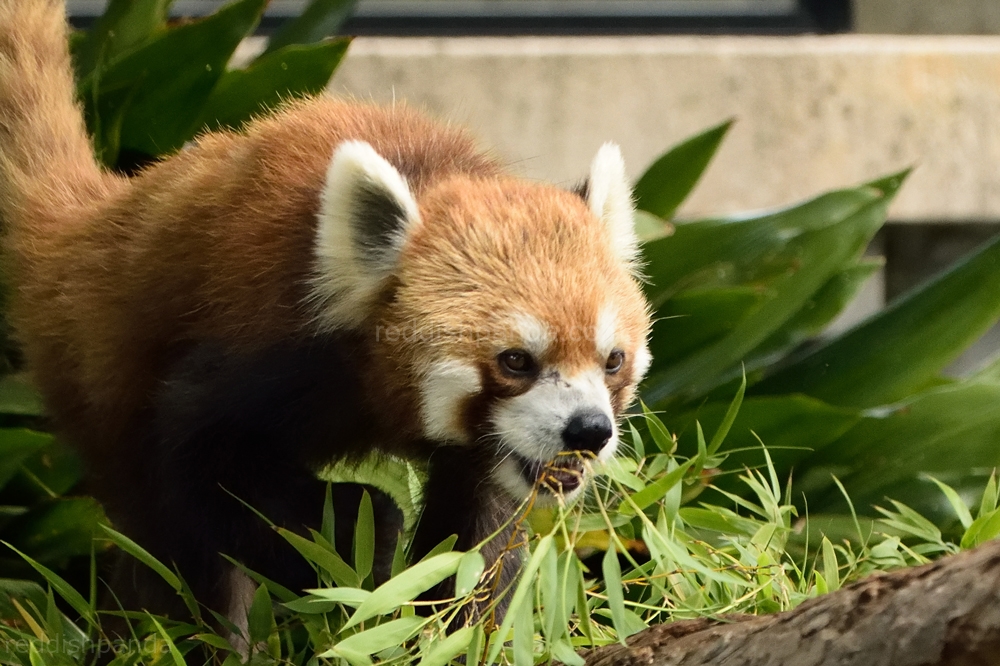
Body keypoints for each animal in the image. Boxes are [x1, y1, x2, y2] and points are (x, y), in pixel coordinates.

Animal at [0, 0, 652, 616]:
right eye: (516, 360)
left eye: (612, 360)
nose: (589, 430)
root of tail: (89, 227)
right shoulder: (262, 350)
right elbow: (201, 466)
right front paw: (359, 542)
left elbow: (475, 548)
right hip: (99, 376)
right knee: (170, 546)